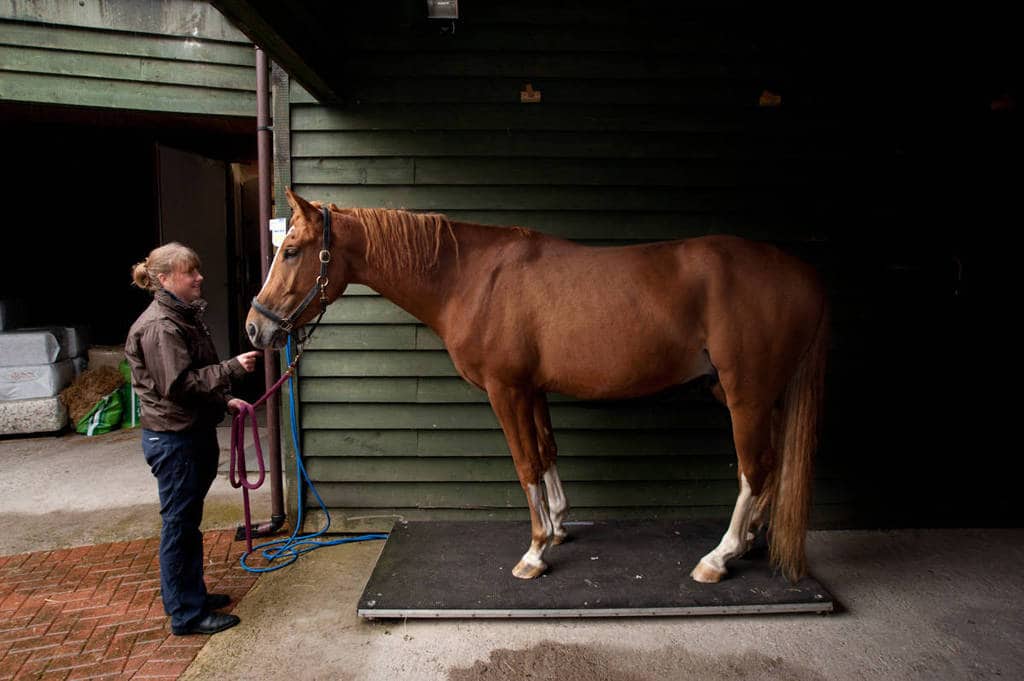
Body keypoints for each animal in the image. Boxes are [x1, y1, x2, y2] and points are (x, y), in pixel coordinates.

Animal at [246, 187, 828, 584]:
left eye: (291, 250)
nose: (256, 328)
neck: (471, 277)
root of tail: (803, 274)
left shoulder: (506, 390)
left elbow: (525, 463)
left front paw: (535, 550)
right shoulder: (533, 390)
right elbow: (547, 453)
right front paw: (561, 526)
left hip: (745, 394)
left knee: (755, 469)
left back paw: (719, 557)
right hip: (758, 395)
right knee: (773, 466)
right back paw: (750, 542)